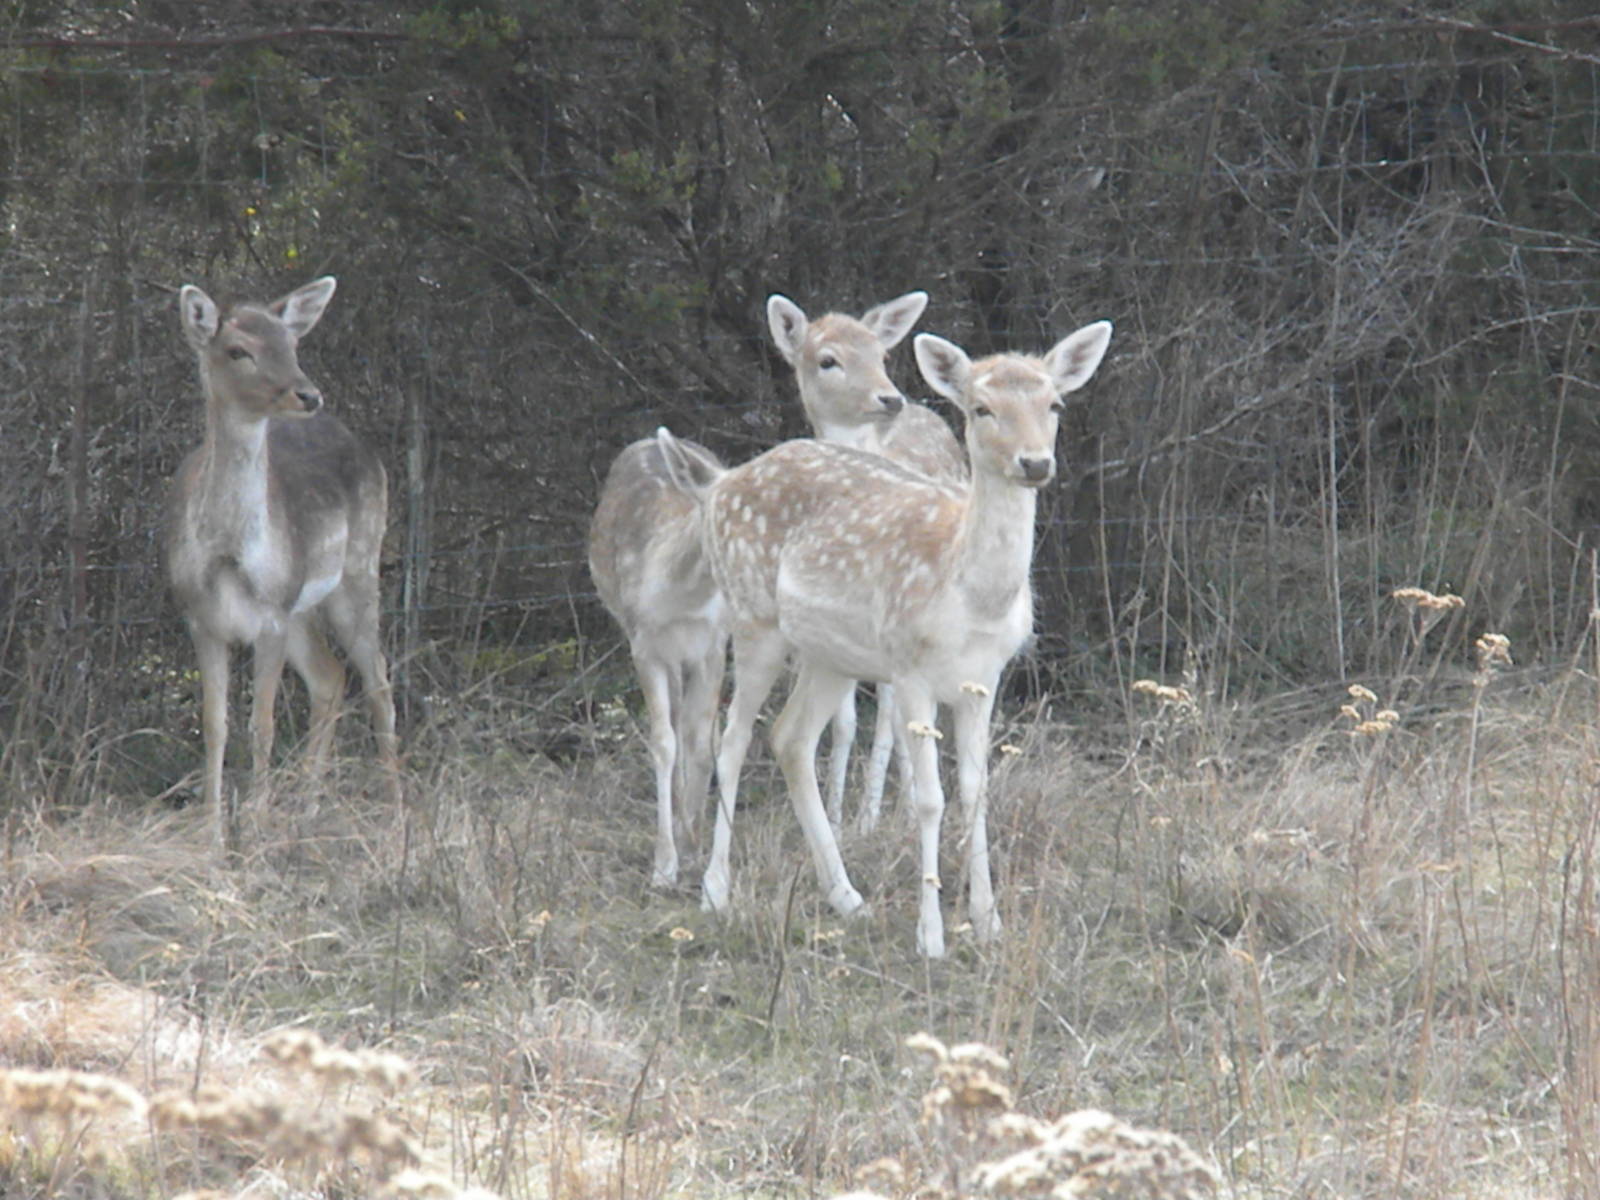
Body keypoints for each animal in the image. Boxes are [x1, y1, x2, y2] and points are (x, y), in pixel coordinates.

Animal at [164, 276, 401, 852]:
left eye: (292, 344)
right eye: (237, 350)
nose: (307, 394)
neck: (228, 554)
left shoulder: (269, 616)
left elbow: (263, 724)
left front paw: (253, 827)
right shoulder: (200, 617)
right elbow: (215, 723)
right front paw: (212, 833)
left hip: (356, 572)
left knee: (379, 682)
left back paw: (395, 811)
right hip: (301, 606)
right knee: (331, 678)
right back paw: (310, 810)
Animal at [587, 435, 728, 888]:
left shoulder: (713, 645)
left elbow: (701, 742)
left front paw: (694, 847)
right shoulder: (644, 645)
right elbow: (663, 742)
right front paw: (664, 866)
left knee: (699, 728)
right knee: (677, 724)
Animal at [660, 318, 1113, 956]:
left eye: (1055, 404)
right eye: (980, 408)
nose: (1034, 462)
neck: (971, 595)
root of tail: (719, 484)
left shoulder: (985, 678)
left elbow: (975, 792)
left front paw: (989, 921)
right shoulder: (910, 668)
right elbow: (929, 799)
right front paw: (932, 936)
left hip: (830, 655)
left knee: (790, 737)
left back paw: (846, 896)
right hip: (753, 619)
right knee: (731, 739)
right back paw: (715, 891)